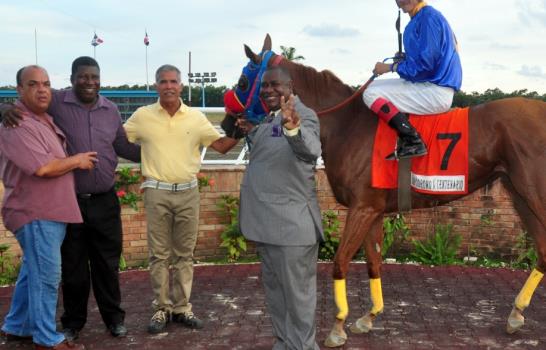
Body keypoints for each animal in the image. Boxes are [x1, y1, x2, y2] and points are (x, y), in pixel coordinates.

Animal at [228, 34, 544, 348]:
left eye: (243, 82)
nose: (229, 123)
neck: (348, 125)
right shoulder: (374, 210)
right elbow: (373, 261)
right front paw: (368, 317)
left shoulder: (362, 208)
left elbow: (340, 261)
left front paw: (338, 326)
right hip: (520, 196)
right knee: (542, 250)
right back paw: (516, 314)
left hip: (534, 195)